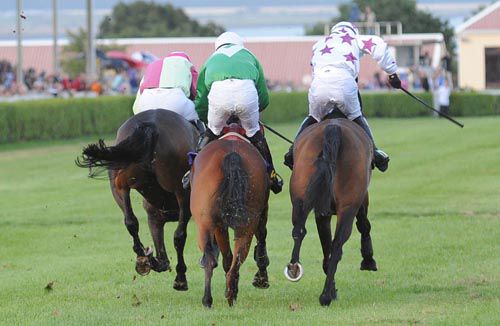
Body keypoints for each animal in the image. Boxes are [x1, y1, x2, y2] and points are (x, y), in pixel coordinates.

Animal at [75, 109, 198, 290]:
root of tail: (151, 124)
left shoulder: (154, 216)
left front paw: (153, 259)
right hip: (181, 191)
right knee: (179, 236)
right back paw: (180, 277)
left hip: (120, 182)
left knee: (130, 221)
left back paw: (143, 258)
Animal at [189, 123, 272, 306]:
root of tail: (232, 155)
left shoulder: (221, 225)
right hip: (243, 222)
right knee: (236, 256)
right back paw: (228, 293)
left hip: (207, 222)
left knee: (215, 257)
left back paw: (212, 298)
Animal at [284, 118, 376, 306]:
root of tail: (333, 127)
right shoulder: (360, 200)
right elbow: (364, 225)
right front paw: (368, 260)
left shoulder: (322, 212)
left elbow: (325, 247)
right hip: (348, 207)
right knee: (338, 245)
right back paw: (326, 295)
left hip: (300, 197)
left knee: (299, 230)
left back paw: (294, 268)